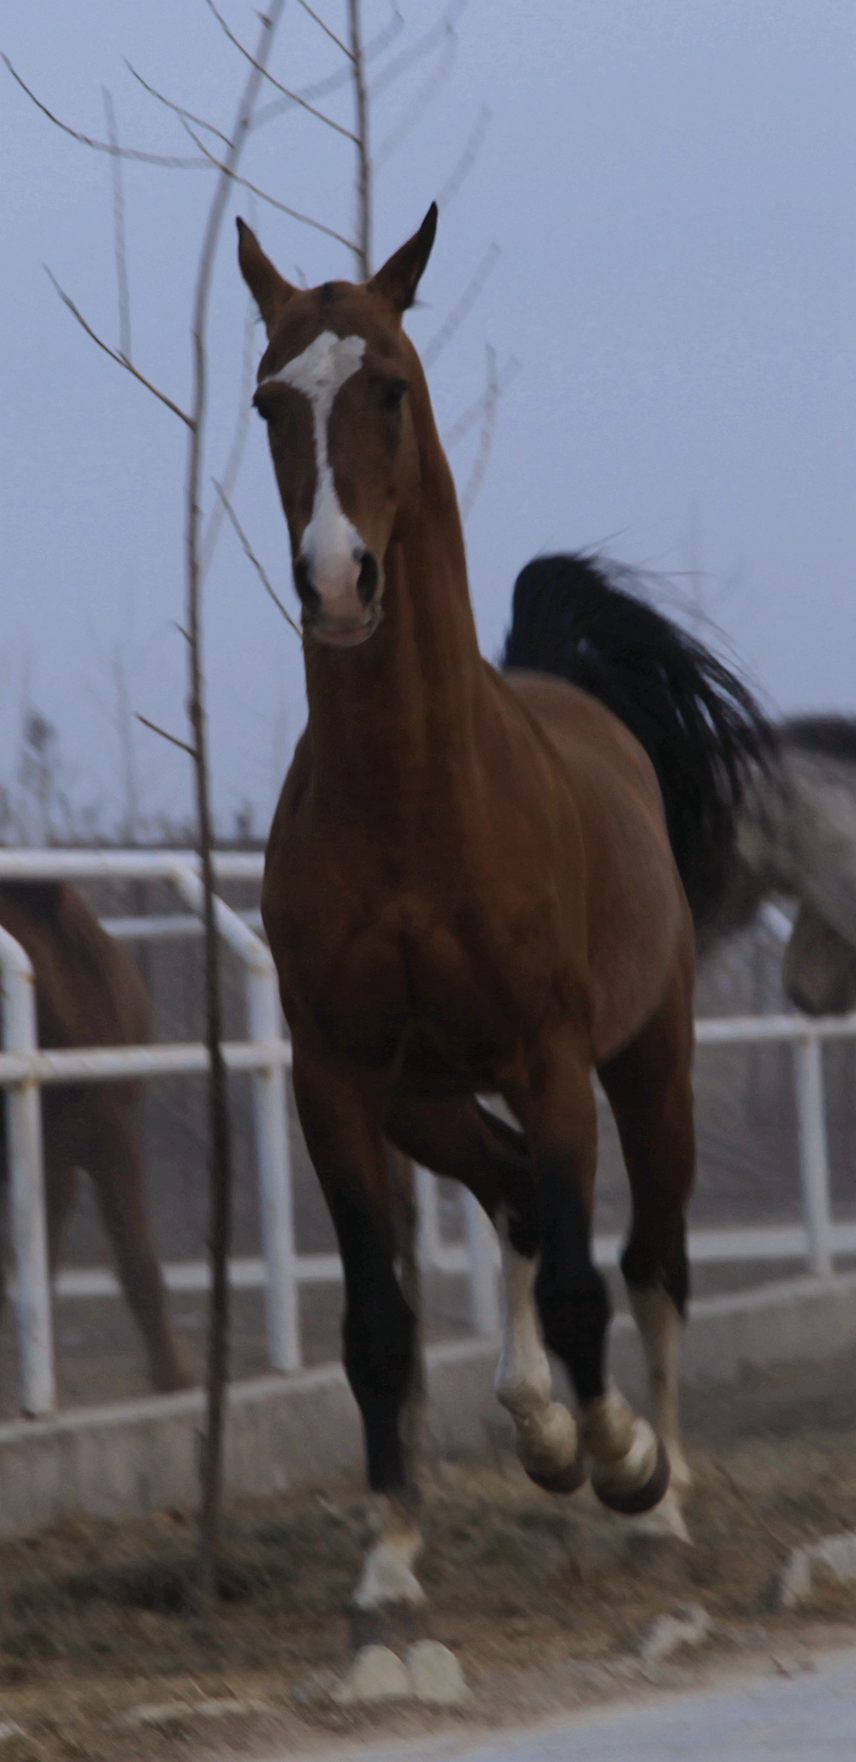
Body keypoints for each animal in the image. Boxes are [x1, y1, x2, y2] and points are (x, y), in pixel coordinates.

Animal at [237, 205, 767, 1651]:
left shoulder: (551, 1052)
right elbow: (378, 1324)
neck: (419, 802)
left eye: (389, 386)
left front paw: (624, 1459)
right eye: (268, 399)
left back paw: (664, 1495)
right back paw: (537, 1426)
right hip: (427, 1093)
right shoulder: (335, 1078)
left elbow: (594, 1279)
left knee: (648, 1261)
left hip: (649, 1064)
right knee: (519, 1191)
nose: (337, 582)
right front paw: (387, 1568)